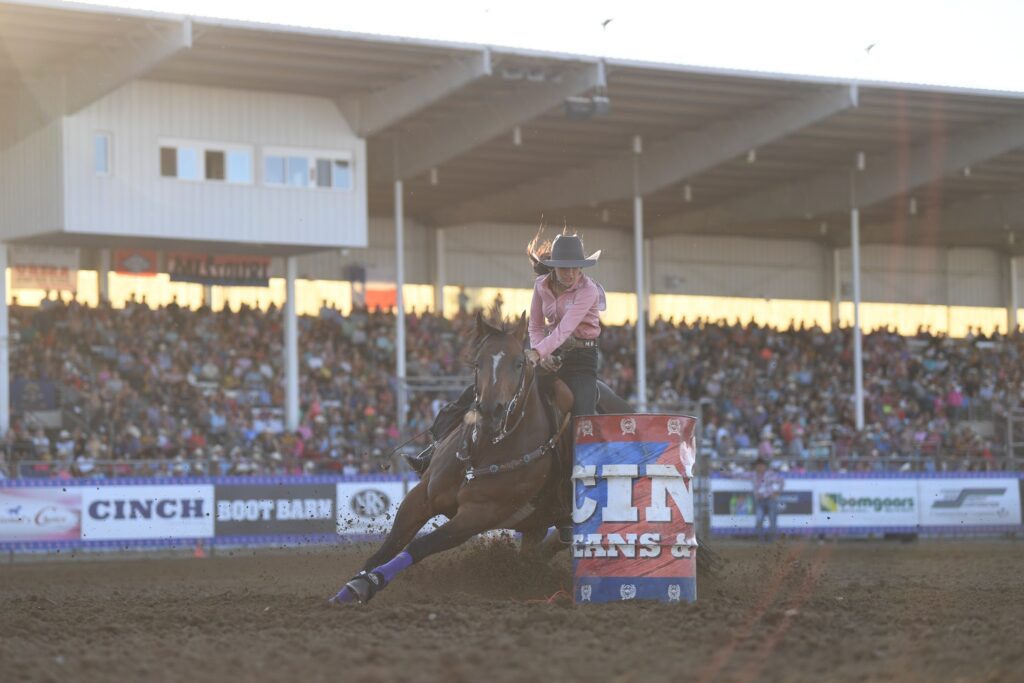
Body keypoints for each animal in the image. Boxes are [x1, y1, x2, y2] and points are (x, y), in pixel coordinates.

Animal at [333, 311, 581, 602]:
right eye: (477, 362)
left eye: (519, 363)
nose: (491, 412)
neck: (481, 453)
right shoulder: (421, 497)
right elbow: (389, 546)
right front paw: (350, 588)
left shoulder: (477, 516)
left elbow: (420, 545)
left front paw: (370, 582)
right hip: (536, 524)